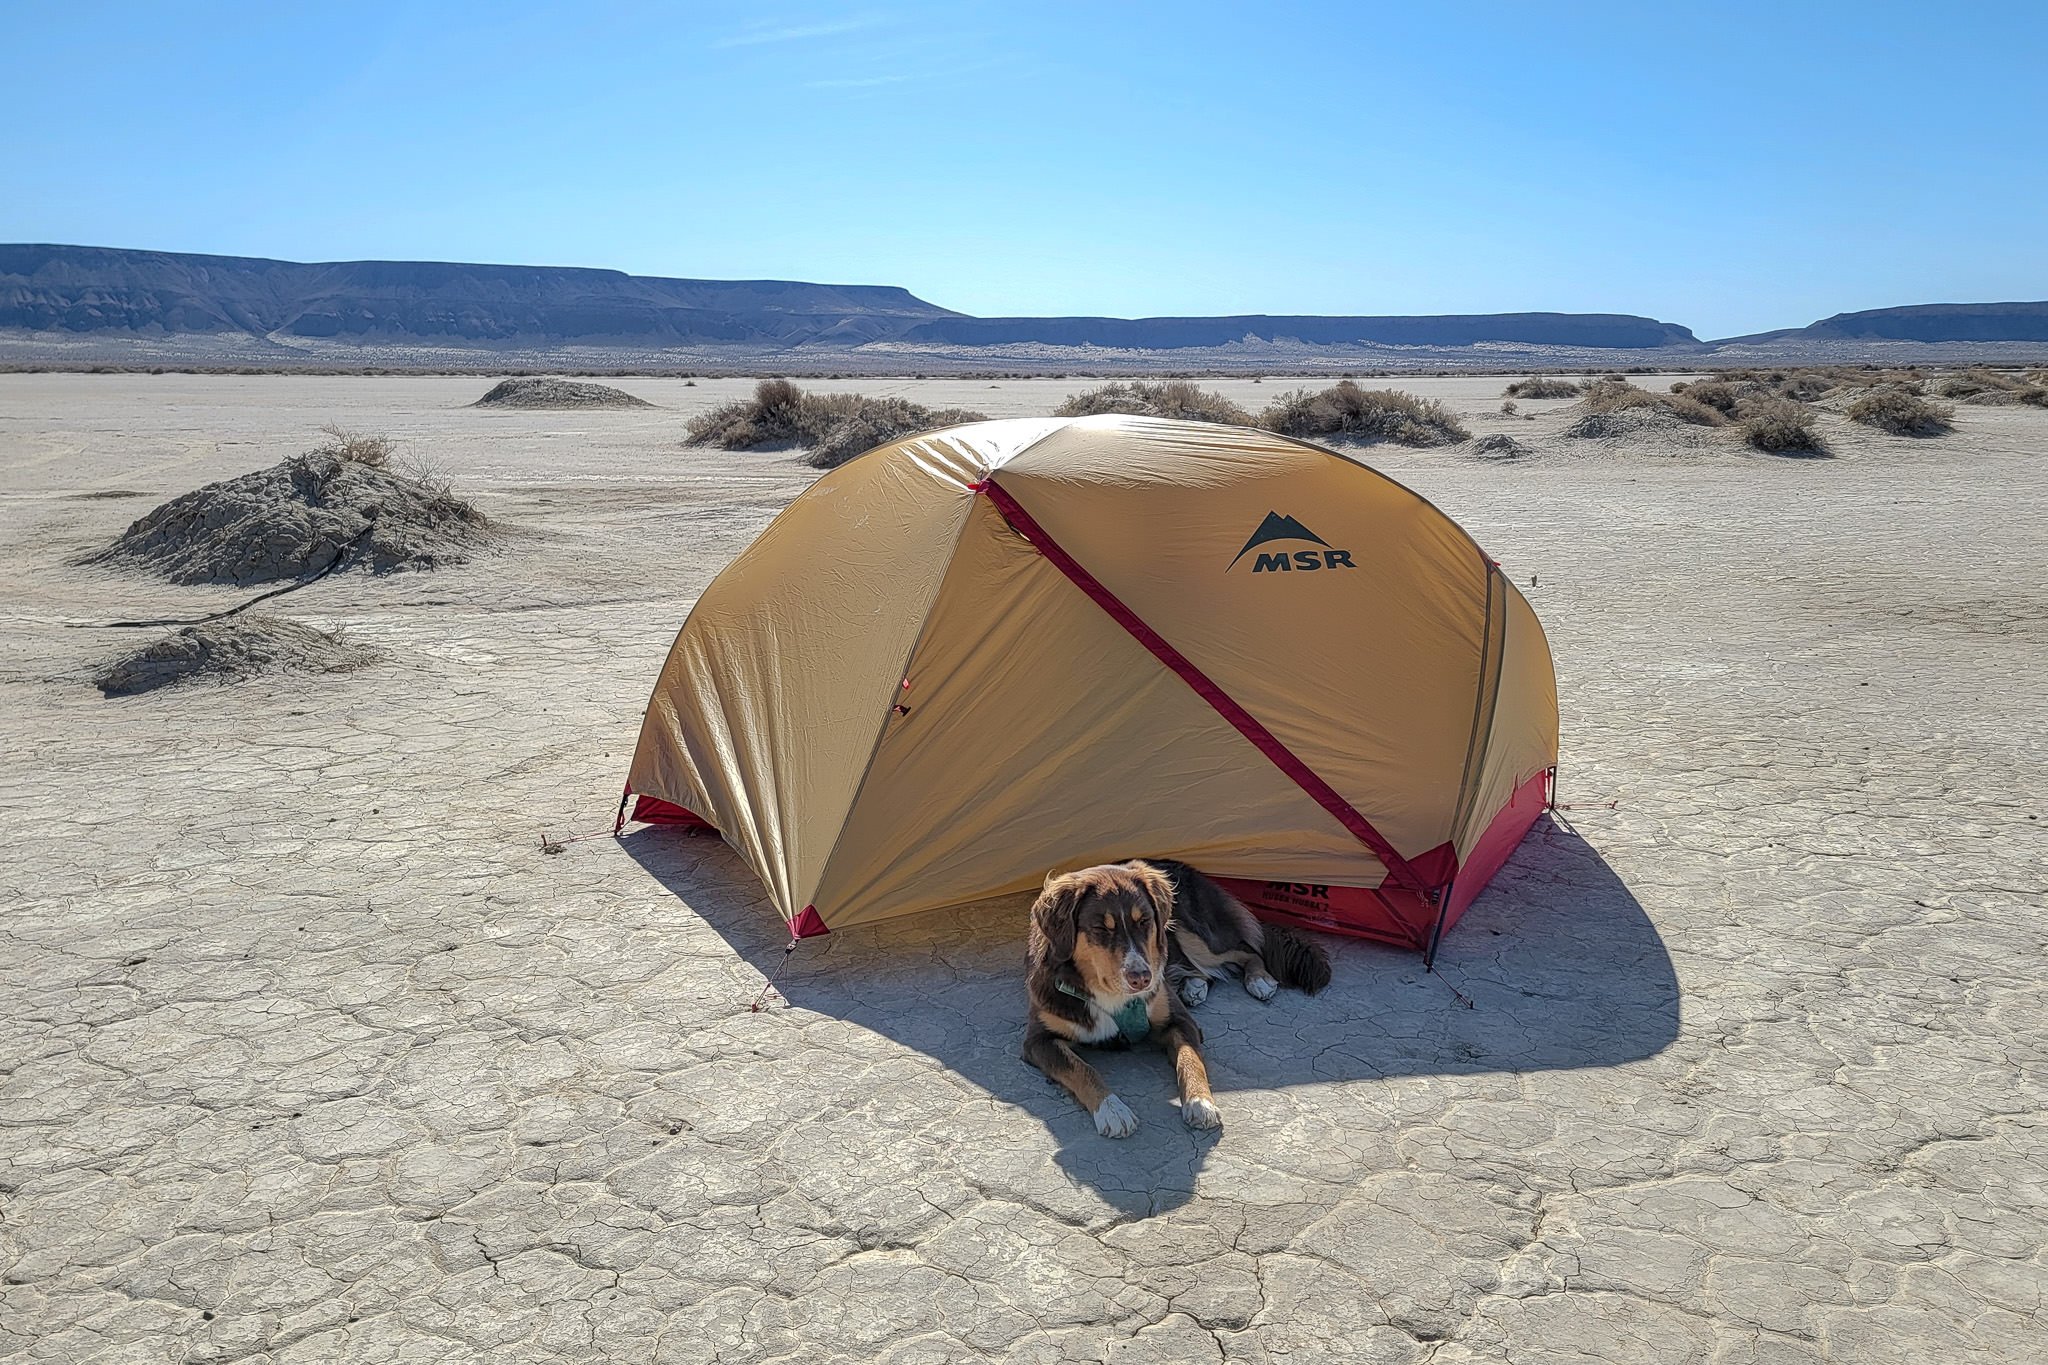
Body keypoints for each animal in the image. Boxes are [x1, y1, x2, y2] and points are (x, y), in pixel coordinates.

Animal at [1019, 859, 1327, 1137]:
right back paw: (1194, 986)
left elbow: (1190, 1059)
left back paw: (1258, 979)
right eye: (1100, 929)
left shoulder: (1179, 1021)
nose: (1142, 978)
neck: (1109, 993)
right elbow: (1081, 1069)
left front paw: (1201, 1103)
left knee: (1246, 950)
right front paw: (1112, 1110)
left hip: (1189, 933)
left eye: (1144, 922)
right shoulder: (1038, 1040)